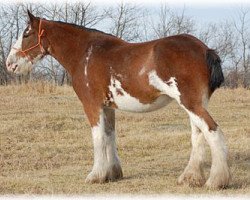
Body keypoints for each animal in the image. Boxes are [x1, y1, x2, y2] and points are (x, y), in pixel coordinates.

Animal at [5, 10, 230, 189]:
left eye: (26, 33)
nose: (9, 64)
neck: (86, 53)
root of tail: (205, 49)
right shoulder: (108, 107)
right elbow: (110, 135)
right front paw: (112, 173)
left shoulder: (92, 106)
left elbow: (98, 138)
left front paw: (95, 175)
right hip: (196, 104)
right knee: (198, 134)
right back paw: (190, 178)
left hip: (190, 103)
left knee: (212, 131)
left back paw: (216, 181)